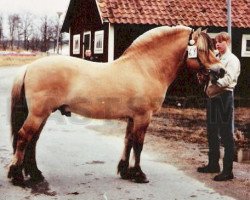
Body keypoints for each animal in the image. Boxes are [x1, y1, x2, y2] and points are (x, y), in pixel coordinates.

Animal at [8, 25, 223, 185]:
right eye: (202, 50)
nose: (220, 71)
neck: (145, 68)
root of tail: (29, 67)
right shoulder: (143, 117)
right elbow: (138, 145)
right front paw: (139, 174)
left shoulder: (132, 118)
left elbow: (128, 141)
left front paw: (125, 171)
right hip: (38, 114)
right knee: (24, 137)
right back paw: (17, 175)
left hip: (43, 114)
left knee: (33, 141)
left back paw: (35, 174)